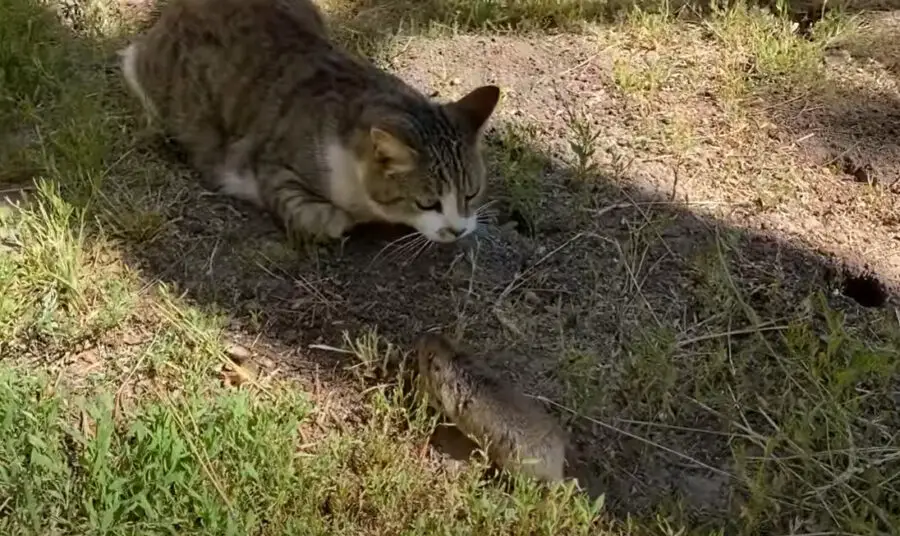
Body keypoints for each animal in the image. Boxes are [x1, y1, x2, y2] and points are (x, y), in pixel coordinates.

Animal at [119, 0, 500, 243]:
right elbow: (318, 215)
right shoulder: (271, 166)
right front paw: (339, 219)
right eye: (427, 203)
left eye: (471, 193)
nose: (458, 230)